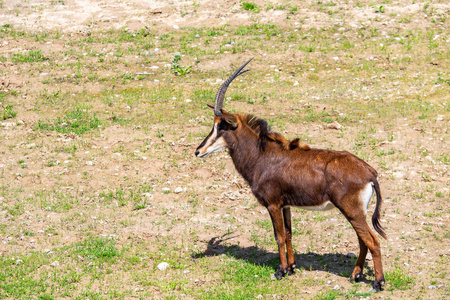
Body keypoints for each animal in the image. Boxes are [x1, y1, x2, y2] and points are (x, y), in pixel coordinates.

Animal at [196, 58, 386, 290]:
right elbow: (288, 234)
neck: (262, 156)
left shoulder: (273, 204)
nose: (198, 151)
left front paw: (281, 271)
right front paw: (292, 267)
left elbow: (278, 236)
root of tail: (370, 172)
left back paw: (377, 282)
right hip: (357, 212)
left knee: (372, 241)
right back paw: (355, 275)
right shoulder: (285, 205)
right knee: (362, 240)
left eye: (220, 126)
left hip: (352, 211)